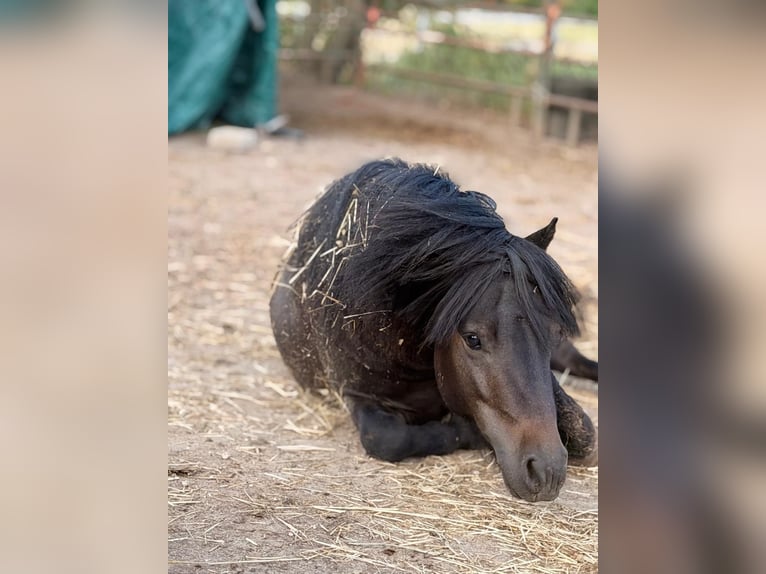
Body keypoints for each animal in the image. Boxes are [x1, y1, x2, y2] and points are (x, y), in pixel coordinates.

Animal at [269, 158, 597, 502]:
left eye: (555, 332)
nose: (546, 472)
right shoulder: (355, 395)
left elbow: (585, 430)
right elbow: (386, 438)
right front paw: (470, 431)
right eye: (472, 339)